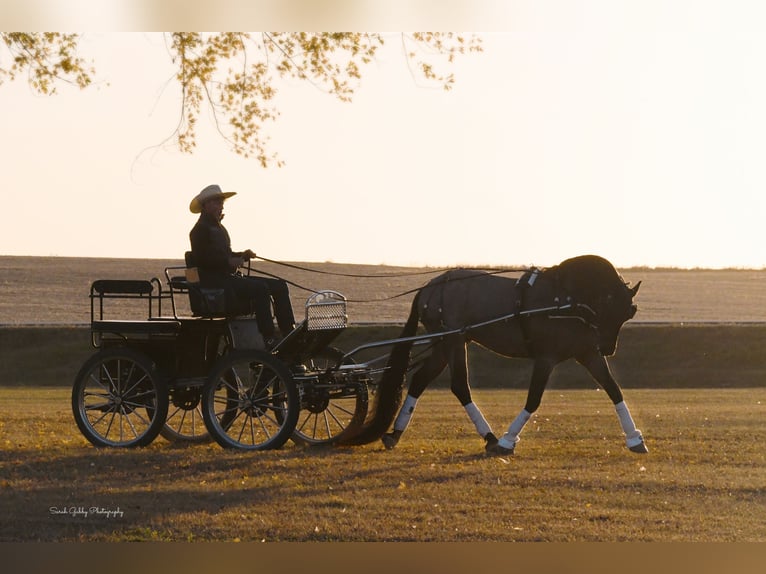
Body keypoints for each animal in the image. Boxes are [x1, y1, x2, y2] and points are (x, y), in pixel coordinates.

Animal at [378, 254, 648, 456]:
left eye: (629, 312)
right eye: (608, 306)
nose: (608, 348)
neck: (568, 300)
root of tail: (430, 287)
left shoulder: (588, 353)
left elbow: (613, 389)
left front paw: (635, 439)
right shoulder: (546, 358)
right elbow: (534, 399)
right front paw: (508, 440)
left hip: (446, 343)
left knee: (420, 380)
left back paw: (396, 433)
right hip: (453, 340)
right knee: (460, 386)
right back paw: (491, 437)